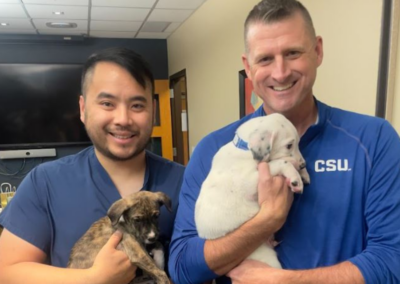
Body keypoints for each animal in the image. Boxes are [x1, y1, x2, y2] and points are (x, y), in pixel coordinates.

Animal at [195, 112, 310, 268]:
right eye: (289, 146)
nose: (303, 164)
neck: (244, 149)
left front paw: (304, 174)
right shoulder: (249, 182)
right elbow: (280, 162)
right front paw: (295, 178)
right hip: (265, 256)